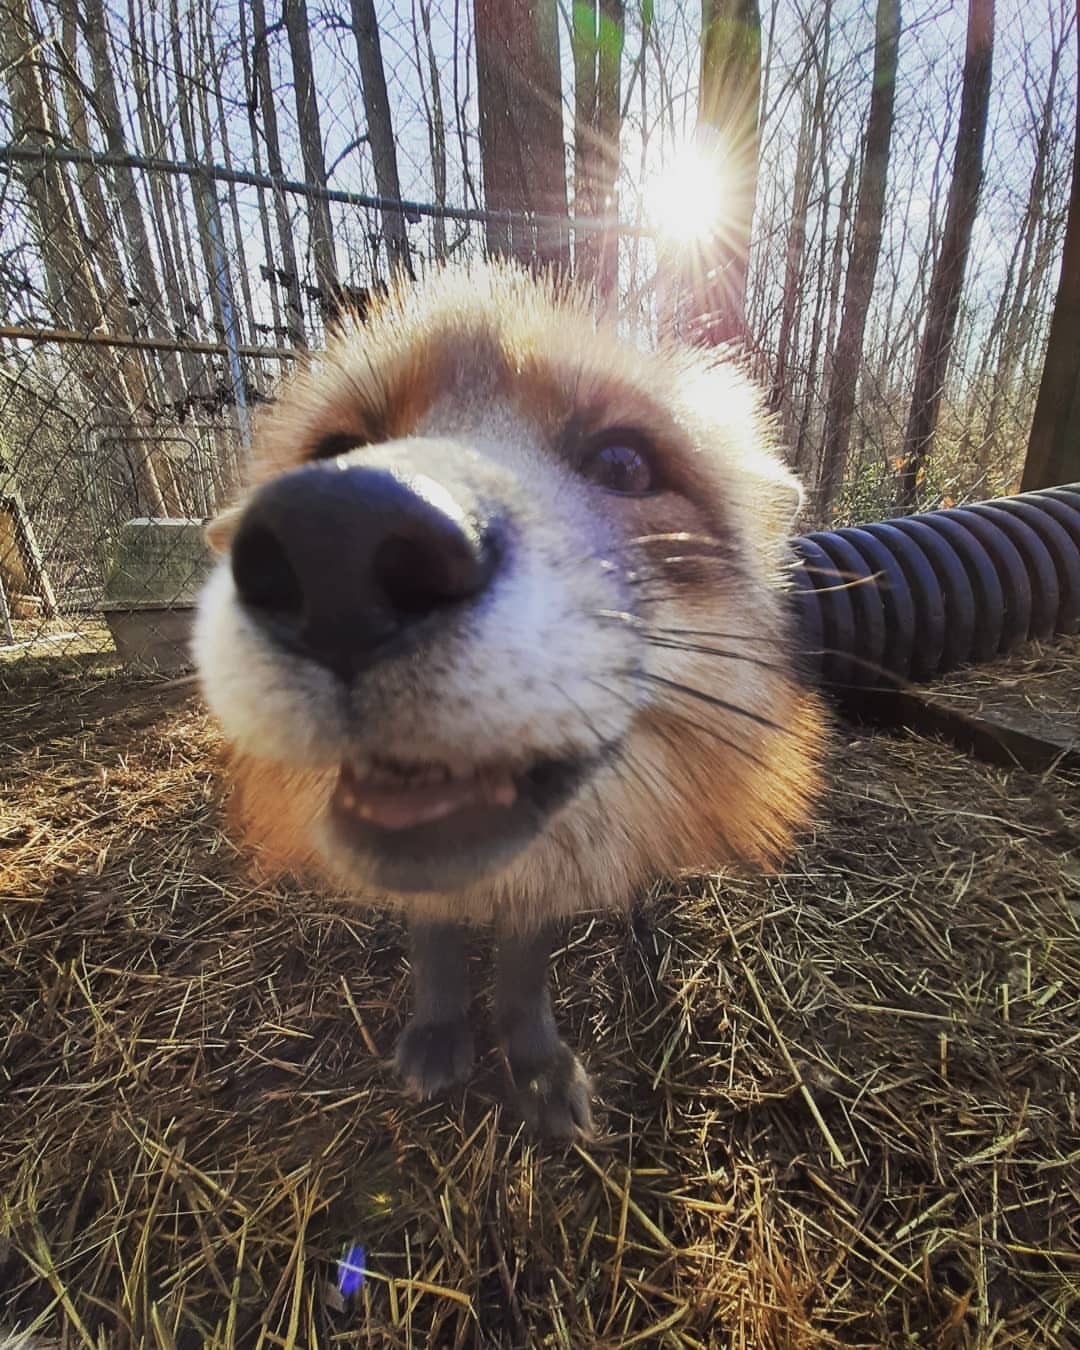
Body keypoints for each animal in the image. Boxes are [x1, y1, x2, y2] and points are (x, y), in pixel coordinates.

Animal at [194, 263, 820, 1139]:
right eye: (336, 450)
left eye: (623, 464)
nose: (336, 542)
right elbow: (434, 948)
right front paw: (439, 1031)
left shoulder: (538, 890)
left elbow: (523, 975)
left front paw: (534, 1067)